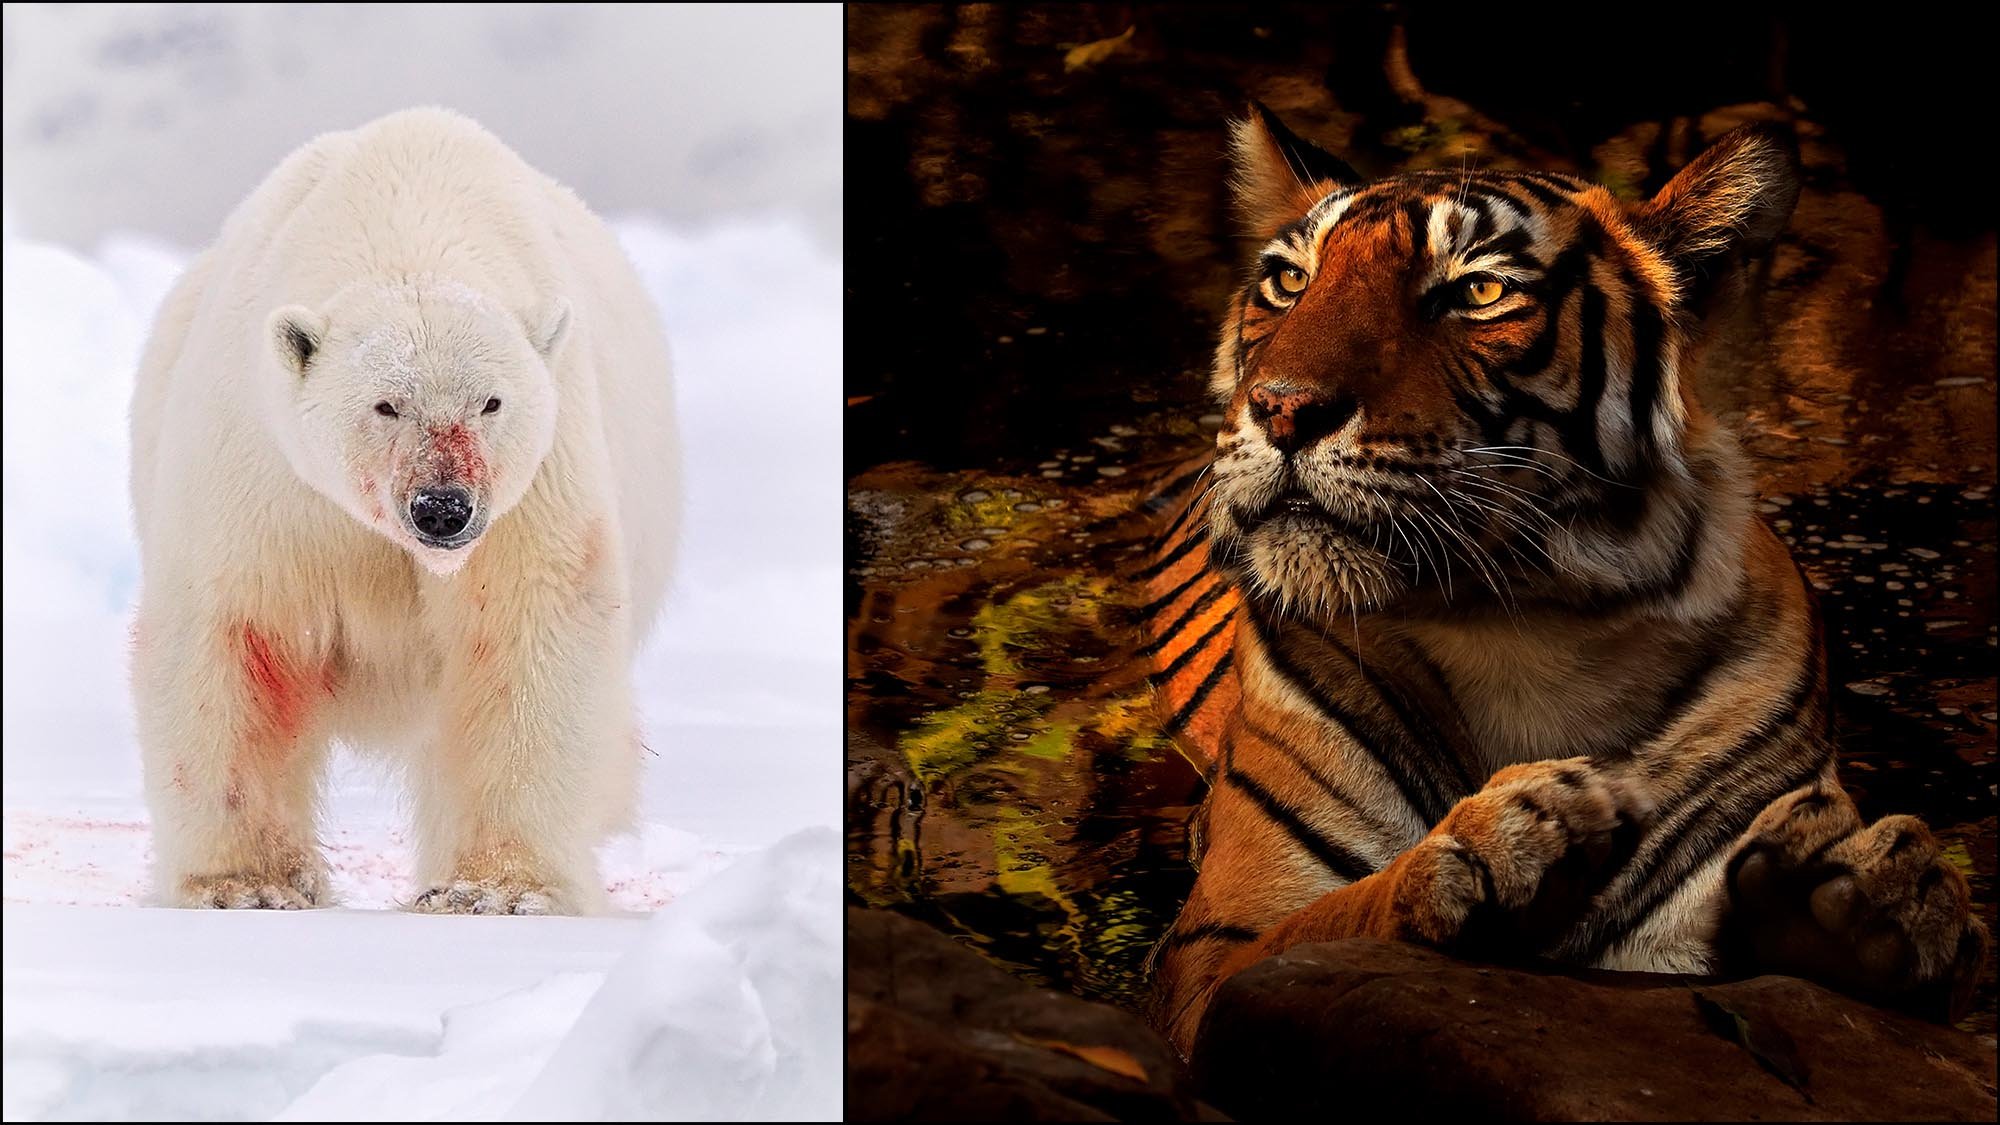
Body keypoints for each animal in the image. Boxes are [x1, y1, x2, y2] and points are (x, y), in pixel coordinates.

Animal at [128, 107, 677, 914]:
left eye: (491, 402)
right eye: (387, 404)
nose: (443, 507)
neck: (409, 214)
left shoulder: (540, 477)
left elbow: (524, 629)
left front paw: (495, 891)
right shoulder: (261, 464)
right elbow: (237, 630)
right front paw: (247, 886)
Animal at [1141, 104, 1990, 1057]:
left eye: (1478, 292)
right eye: (1289, 281)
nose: (1282, 407)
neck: (1530, 629)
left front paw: (1870, 897)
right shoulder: (1216, 952)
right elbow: (1330, 924)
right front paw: (1505, 843)